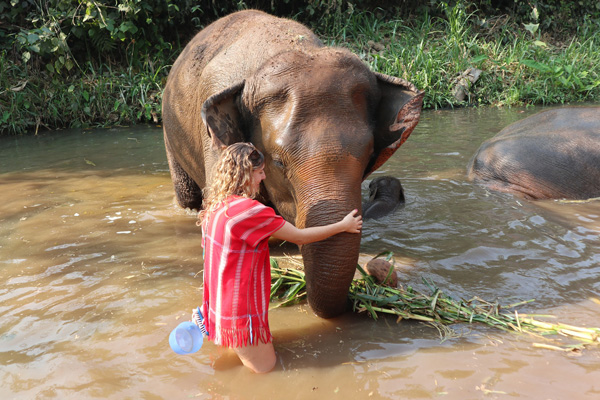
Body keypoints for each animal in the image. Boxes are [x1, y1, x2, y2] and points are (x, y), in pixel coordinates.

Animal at [159, 10, 422, 318]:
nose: (360, 293)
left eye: (369, 155)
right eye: (278, 162)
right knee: (187, 195)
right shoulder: (214, 145)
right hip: (170, 133)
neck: (288, 47)